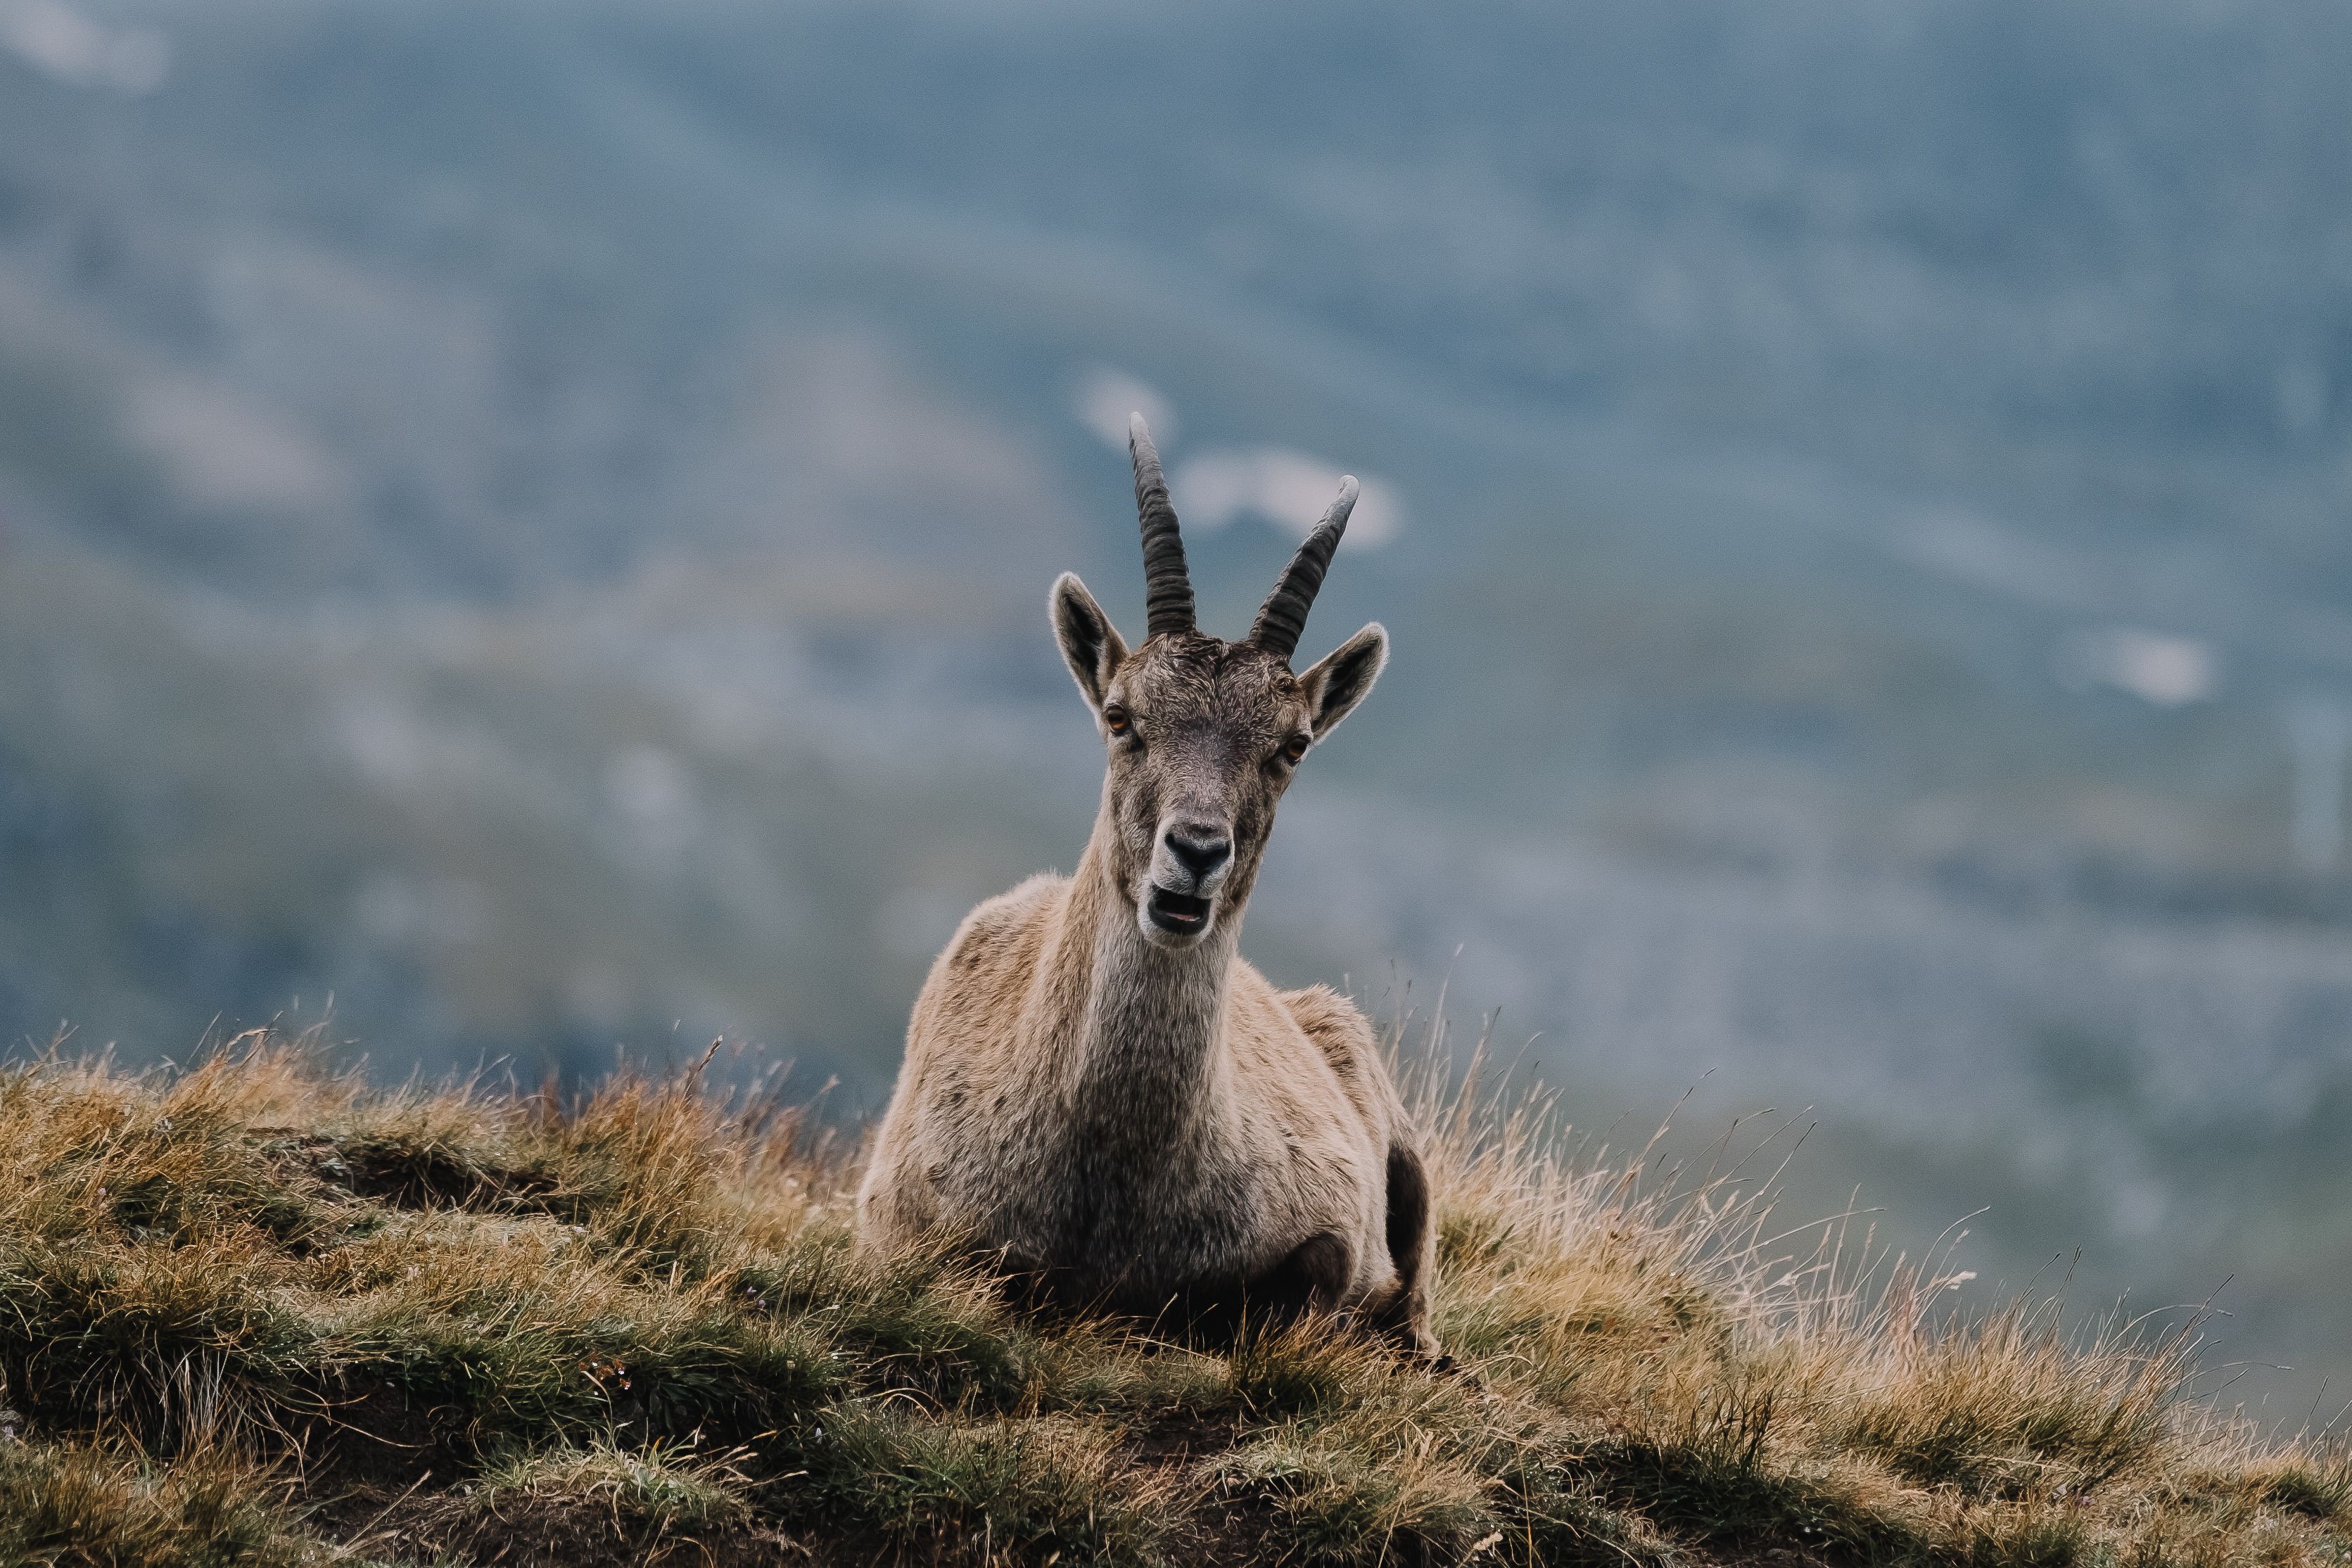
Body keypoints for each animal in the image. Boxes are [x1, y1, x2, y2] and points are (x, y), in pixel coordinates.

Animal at [856, 416, 1437, 1356]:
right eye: (1121, 717)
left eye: (1293, 745)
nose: (1196, 852)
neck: (1111, 1173)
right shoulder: (899, 1224)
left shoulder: (1328, 1222)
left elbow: (1320, 1272)